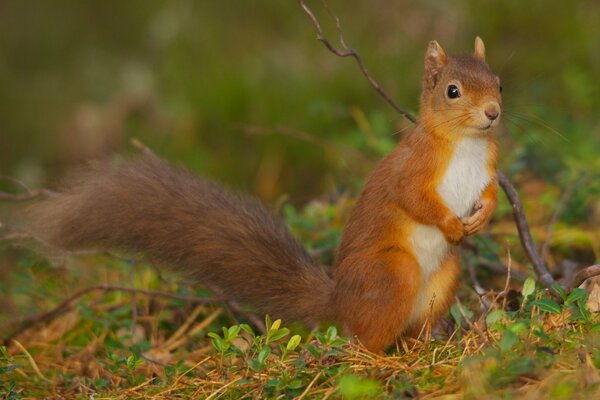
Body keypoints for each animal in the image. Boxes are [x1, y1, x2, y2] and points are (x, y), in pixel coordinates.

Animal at [32, 37, 502, 354]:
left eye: (498, 81)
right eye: (453, 91)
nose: (493, 113)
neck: (465, 144)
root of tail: (340, 303)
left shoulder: (489, 166)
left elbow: (491, 191)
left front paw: (481, 218)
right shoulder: (414, 169)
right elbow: (414, 199)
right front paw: (450, 223)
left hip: (444, 278)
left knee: (414, 326)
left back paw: (429, 345)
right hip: (392, 272)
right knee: (364, 341)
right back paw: (381, 359)